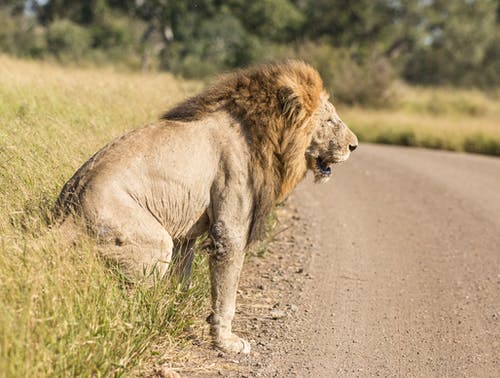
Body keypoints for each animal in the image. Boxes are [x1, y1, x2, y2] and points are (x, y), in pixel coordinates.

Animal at [54, 60, 360, 352]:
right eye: (330, 120)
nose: (354, 146)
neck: (265, 135)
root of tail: (66, 213)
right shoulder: (229, 227)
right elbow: (227, 292)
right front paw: (226, 341)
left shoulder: (186, 234)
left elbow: (182, 280)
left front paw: (176, 314)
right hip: (151, 242)